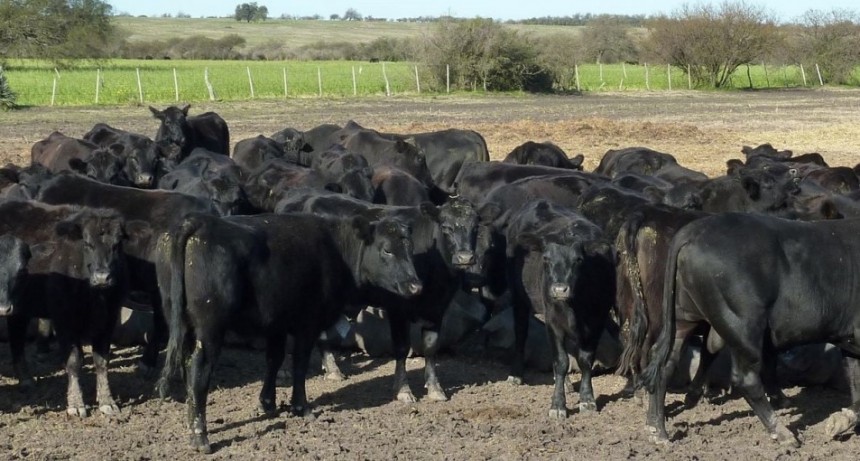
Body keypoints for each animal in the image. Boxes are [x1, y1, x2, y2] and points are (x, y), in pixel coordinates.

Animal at [0, 201, 127, 416]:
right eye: (87, 244)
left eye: (117, 245)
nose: (102, 277)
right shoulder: (65, 321)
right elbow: (73, 360)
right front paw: (76, 404)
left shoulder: (108, 320)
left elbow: (102, 361)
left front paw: (107, 401)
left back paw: (25, 379)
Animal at [155, 212, 424, 452]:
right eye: (387, 250)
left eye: (410, 249)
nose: (415, 286)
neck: (336, 250)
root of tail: (199, 221)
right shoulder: (307, 324)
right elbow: (300, 365)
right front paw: (301, 407)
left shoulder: (277, 324)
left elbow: (274, 360)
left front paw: (267, 403)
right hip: (209, 330)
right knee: (199, 373)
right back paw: (201, 437)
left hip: (182, 323)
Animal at [508, 199, 616, 416]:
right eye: (546, 258)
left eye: (579, 260)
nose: (559, 289)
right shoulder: (553, 320)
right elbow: (561, 361)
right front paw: (558, 405)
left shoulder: (597, 321)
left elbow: (585, 359)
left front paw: (587, 399)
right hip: (519, 297)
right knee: (521, 332)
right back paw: (517, 374)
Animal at [640, 214, 860, 448]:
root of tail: (693, 230)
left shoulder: (850, 342)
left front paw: (843, 420)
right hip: (743, 326)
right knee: (746, 378)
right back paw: (782, 433)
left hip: (683, 318)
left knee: (665, 362)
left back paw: (658, 430)